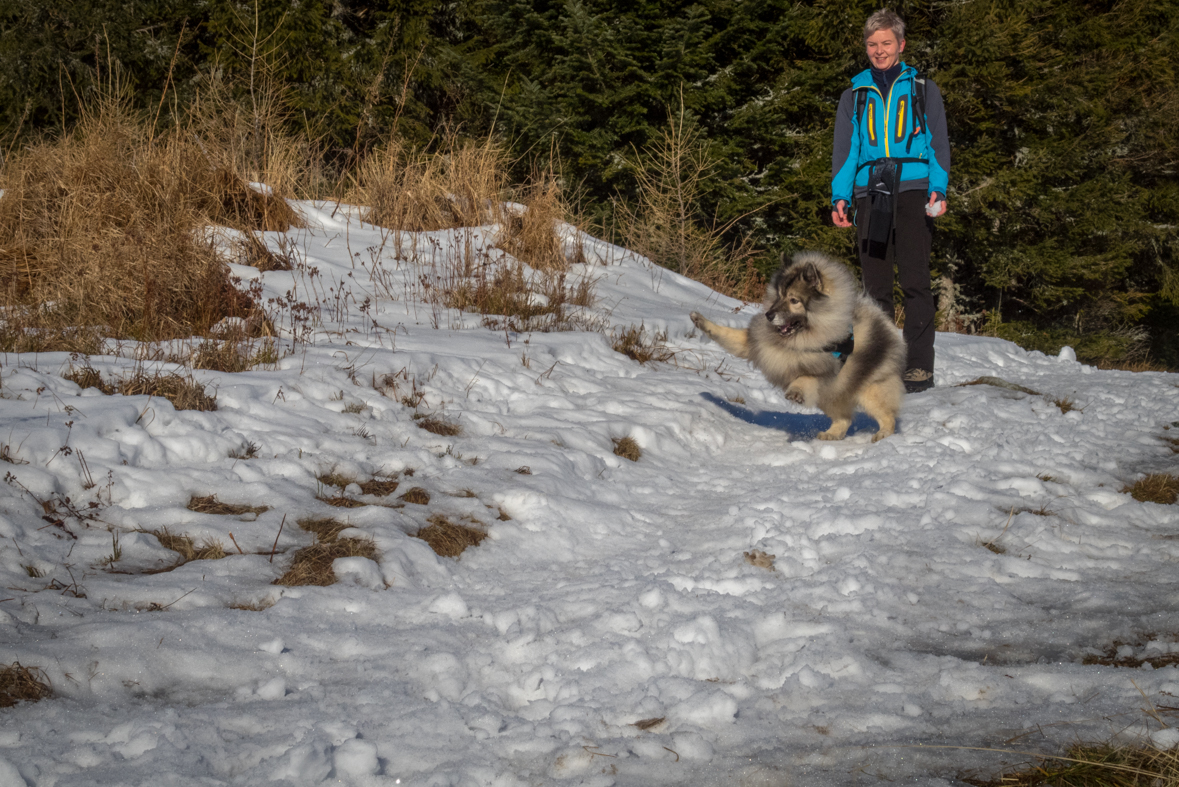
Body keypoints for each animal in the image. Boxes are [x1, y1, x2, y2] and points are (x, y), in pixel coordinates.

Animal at [688, 250, 900, 440]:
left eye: (794, 300)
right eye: (778, 296)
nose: (769, 315)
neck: (799, 338)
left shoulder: (823, 370)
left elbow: (804, 377)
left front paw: (795, 392)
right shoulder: (755, 344)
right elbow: (725, 333)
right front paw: (700, 321)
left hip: (868, 391)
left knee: (887, 415)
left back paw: (883, 435)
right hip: (831, 395)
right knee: (844, 419)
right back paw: (831, 435)